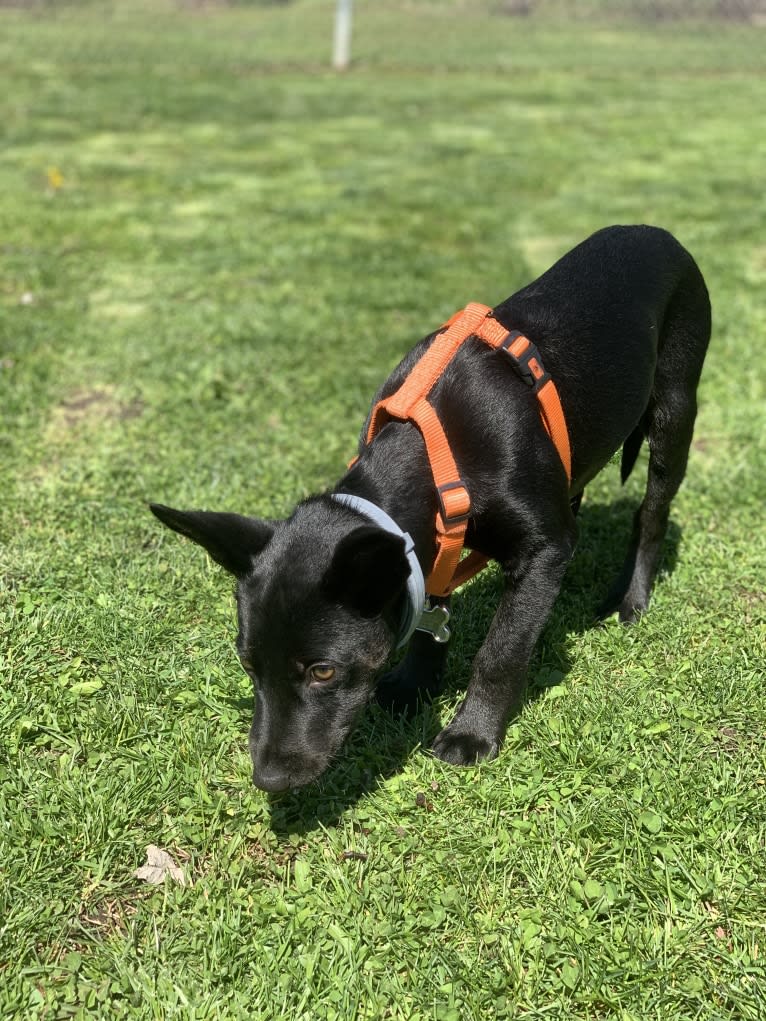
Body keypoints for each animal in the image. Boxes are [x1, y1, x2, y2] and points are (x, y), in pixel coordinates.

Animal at [151, 227, 714, 792]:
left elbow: (502, 648)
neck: (434, 453)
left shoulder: (544, 548)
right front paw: (416, 683)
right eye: (248, 666)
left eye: (323, 671)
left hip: (675, 410)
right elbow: (432, 609)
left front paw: (472, 732)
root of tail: (656, 233)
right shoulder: (439, 539)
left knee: (651, 515)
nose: (268, 779)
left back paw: (631, 598)